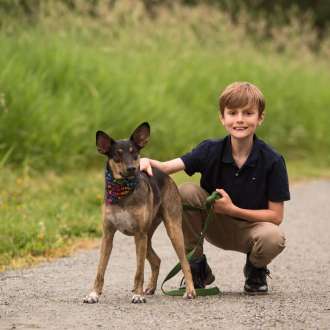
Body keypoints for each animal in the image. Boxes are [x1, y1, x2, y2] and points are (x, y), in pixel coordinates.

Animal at [83, 122, 196, 302]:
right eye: (117, 155)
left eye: (134, 153)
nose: (132, 168)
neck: (122, 192)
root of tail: (165, 175)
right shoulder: (107, 235)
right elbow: (100, 269)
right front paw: (93, 294)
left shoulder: (139, 235)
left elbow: (139, 270)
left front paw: (137, 294)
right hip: (148, 237)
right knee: (156, 260)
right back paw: (149, 288)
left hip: (171, 230)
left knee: (185, 262)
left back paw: (190, 290)